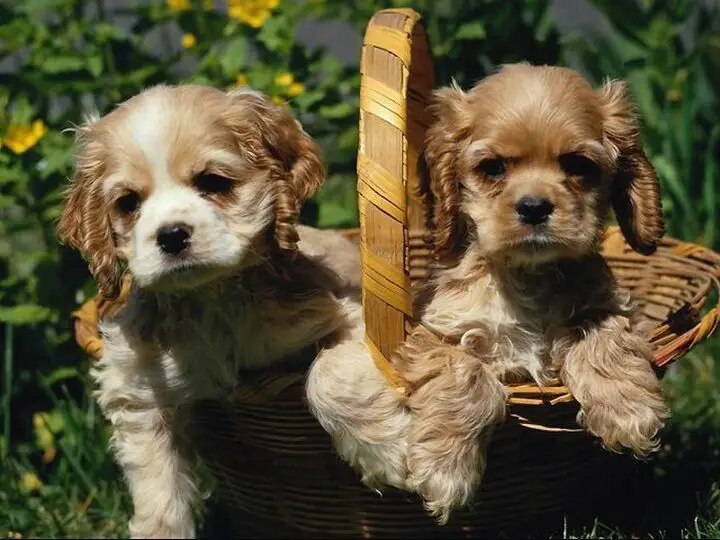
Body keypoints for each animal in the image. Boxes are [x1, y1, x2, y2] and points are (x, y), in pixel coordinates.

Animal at [54, 84, 366, 536]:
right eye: (128, 203)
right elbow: (159, 492)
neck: (210, 300)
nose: (170, 236)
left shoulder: (334, 313)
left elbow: (332, 372)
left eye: (213, 182)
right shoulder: (140, 387)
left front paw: (390, 459)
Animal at [308, 62, 668, 524]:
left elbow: (602, 332)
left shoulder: (610, 305)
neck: (527, 278)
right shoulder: (434, 335)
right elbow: (465, 372)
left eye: (578, 164)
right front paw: (445, 472)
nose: (534, 207)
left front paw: (629, 412)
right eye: (493, 167)